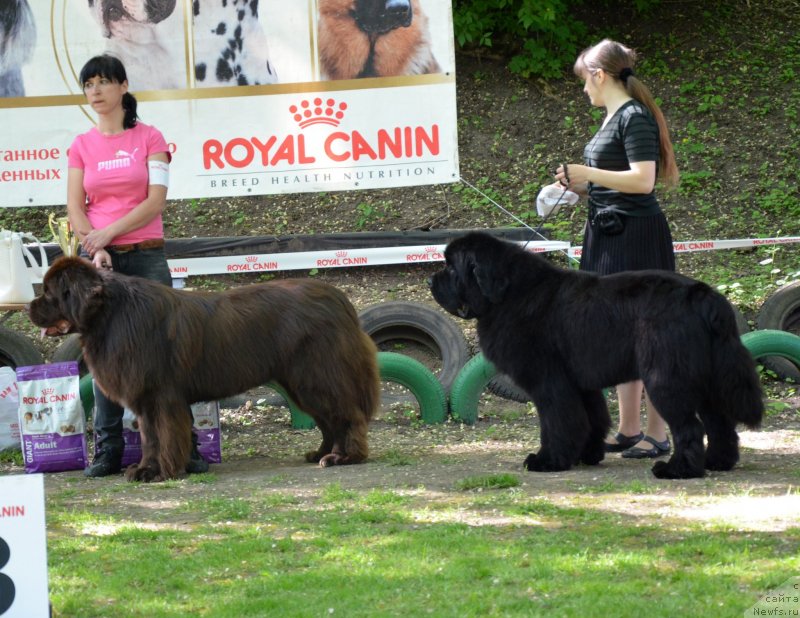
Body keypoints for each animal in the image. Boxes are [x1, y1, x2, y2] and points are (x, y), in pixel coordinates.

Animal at [29, 256, 380, 482]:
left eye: (48, 292)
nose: (28, 307)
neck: (111, 315)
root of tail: (340, 300)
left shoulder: (160, 396)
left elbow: (164, 435)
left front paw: (160, 472)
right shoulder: (146, 399)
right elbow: (150, 438)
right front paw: (145, 469)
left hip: (316, 376)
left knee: (345, 416)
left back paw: (344, 457)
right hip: (301, 382)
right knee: (328, 421)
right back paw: (320, 453)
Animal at [428, 231, 764, 476]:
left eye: (450, 267)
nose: (430, 279)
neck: (508, 294)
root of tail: (703, 295)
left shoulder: (549, 381)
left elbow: (557, 422)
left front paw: (548, 460)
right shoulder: (580, 383)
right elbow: (591, 419)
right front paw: (585, 455)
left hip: (666, 378)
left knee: (690, 426)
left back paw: (677, 470)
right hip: (707, 378)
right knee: (720, 423)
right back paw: (717, 462)